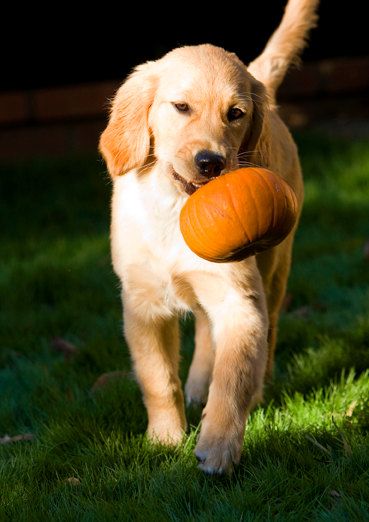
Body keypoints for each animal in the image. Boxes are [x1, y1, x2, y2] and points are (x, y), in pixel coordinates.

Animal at [99, 0, 318, 472]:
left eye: (235, 114)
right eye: (180, 107)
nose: (210, 162)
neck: (175, 210)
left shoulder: (240, 301)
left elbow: (232, 379)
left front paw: (218, 447)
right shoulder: (143, 305)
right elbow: (158, 378)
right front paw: (164, 438)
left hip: (275, 270)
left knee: (268, 332)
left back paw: (254, 387)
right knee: (202, 331)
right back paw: (197, 383)